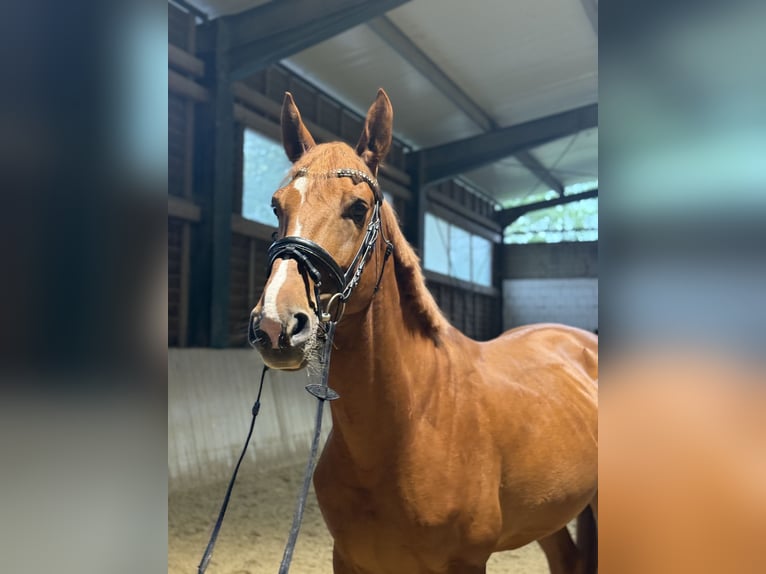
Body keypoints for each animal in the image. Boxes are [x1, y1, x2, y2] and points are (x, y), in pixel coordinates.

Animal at [249, 89, 598, 574]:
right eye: (277, 206)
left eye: (358, 208)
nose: (275, 323)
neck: (414, 422)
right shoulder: (350, 560)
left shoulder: (465, 562)